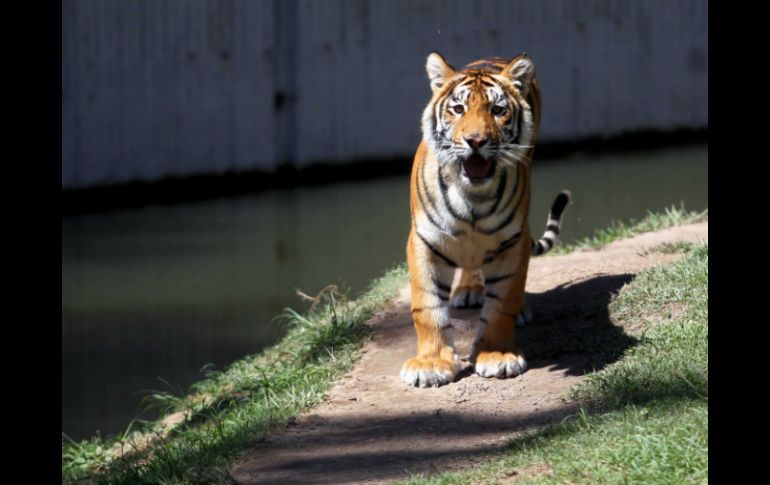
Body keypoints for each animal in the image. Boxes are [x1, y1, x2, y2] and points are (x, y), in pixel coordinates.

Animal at [400, 52, 568, 386]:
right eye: (458, 109)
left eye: (497, 110)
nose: (475, 140)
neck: (472, 196)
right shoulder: (423, 241)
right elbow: (428, 306)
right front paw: (431, 364)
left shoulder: (512, 242)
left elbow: (502, 304)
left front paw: (496, 355)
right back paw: (468, 291)